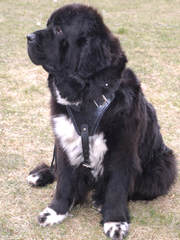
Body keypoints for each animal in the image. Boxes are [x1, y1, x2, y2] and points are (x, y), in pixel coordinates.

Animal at [26, 3, 177, 240]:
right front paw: (55, 212)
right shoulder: (64, 141)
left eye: (59, 30)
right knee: (55, 169)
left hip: (164, 167)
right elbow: (64, 181)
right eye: (49, 25)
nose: (28, 37)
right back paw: (40, 175)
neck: (87, 96)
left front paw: (115, 221)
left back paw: (99, 199)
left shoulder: (122, 150)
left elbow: (116, 188)